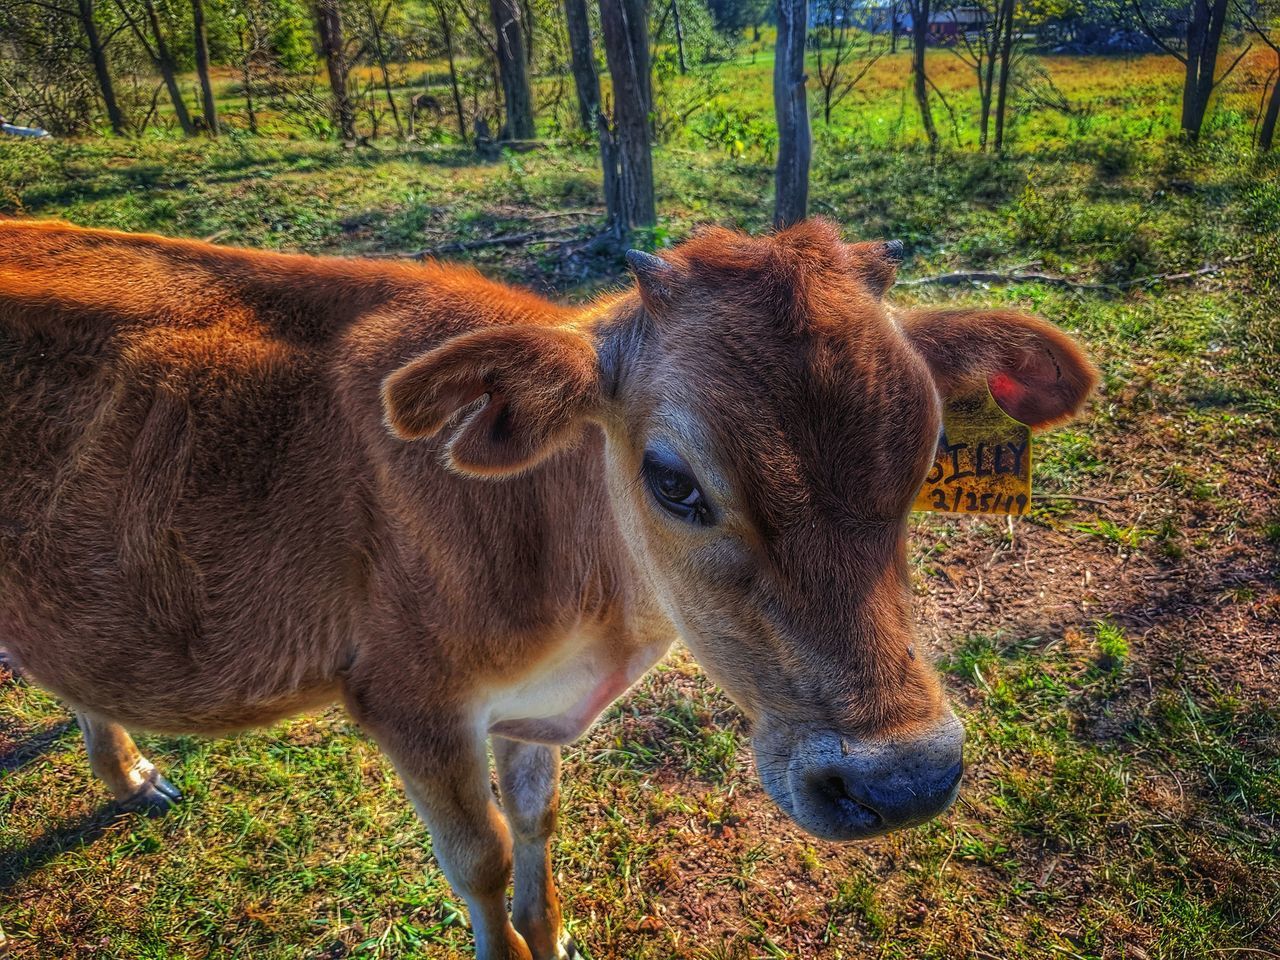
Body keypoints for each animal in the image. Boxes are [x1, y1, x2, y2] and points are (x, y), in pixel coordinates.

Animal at [0, 220, 1090, 960]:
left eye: (927, 453)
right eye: (672, 478)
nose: (899, 779)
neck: (588, 617)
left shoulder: (529, 713)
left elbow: (534, 822)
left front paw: (551, 930)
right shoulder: (407, 703)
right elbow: (478, 857)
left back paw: (127, 770)